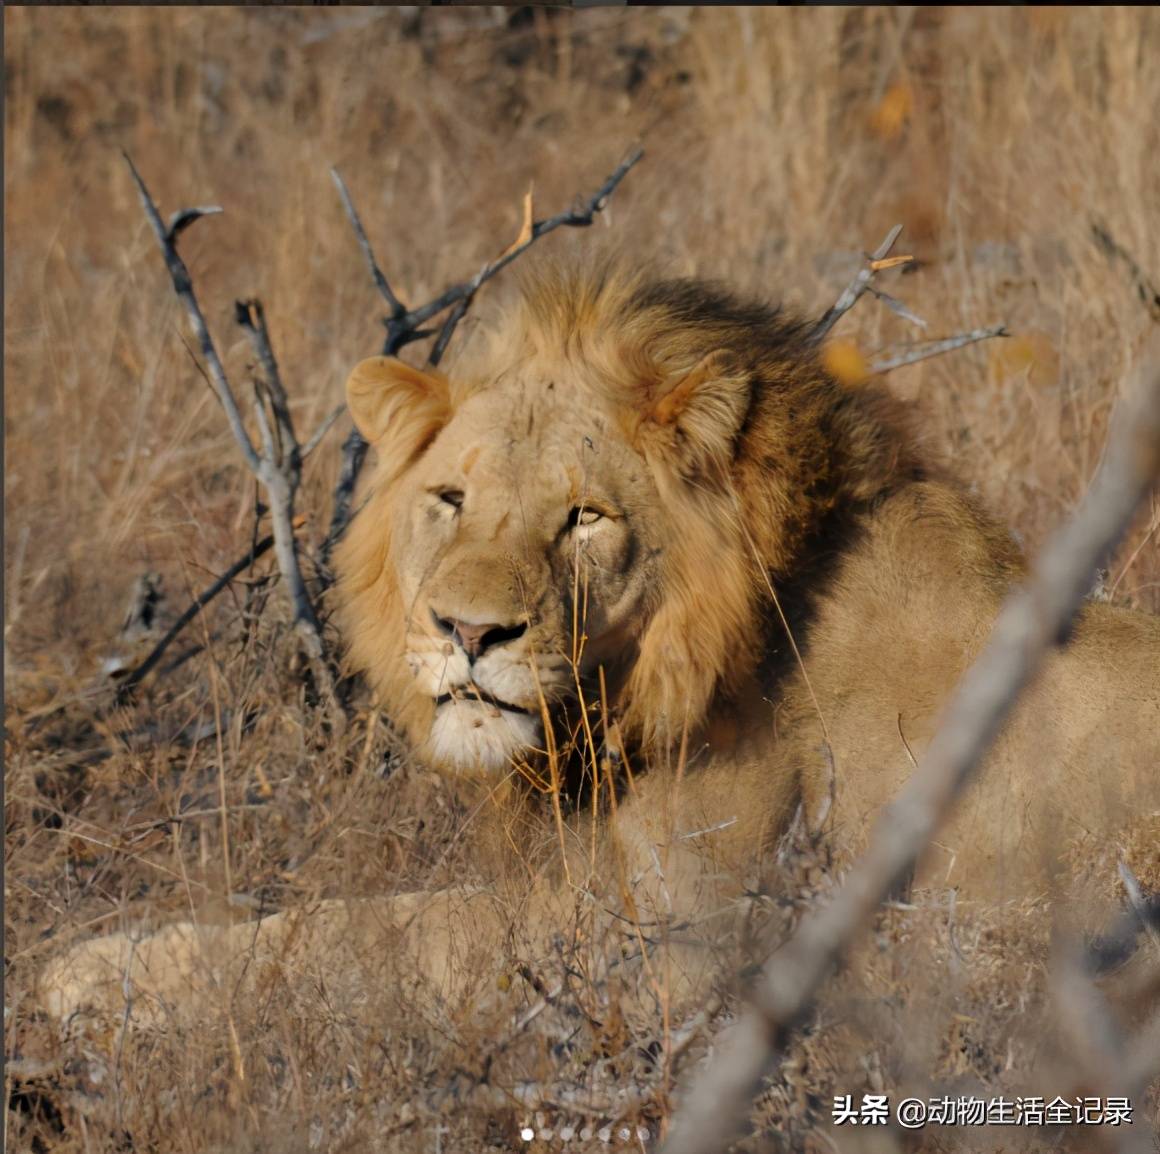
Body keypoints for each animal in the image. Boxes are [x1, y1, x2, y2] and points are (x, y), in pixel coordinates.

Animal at [36, 255, 1160, 1039]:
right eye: (450, 499)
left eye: (583, 517)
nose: (467, 632)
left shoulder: (688, 950)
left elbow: (371, 941)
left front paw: (80, 972)